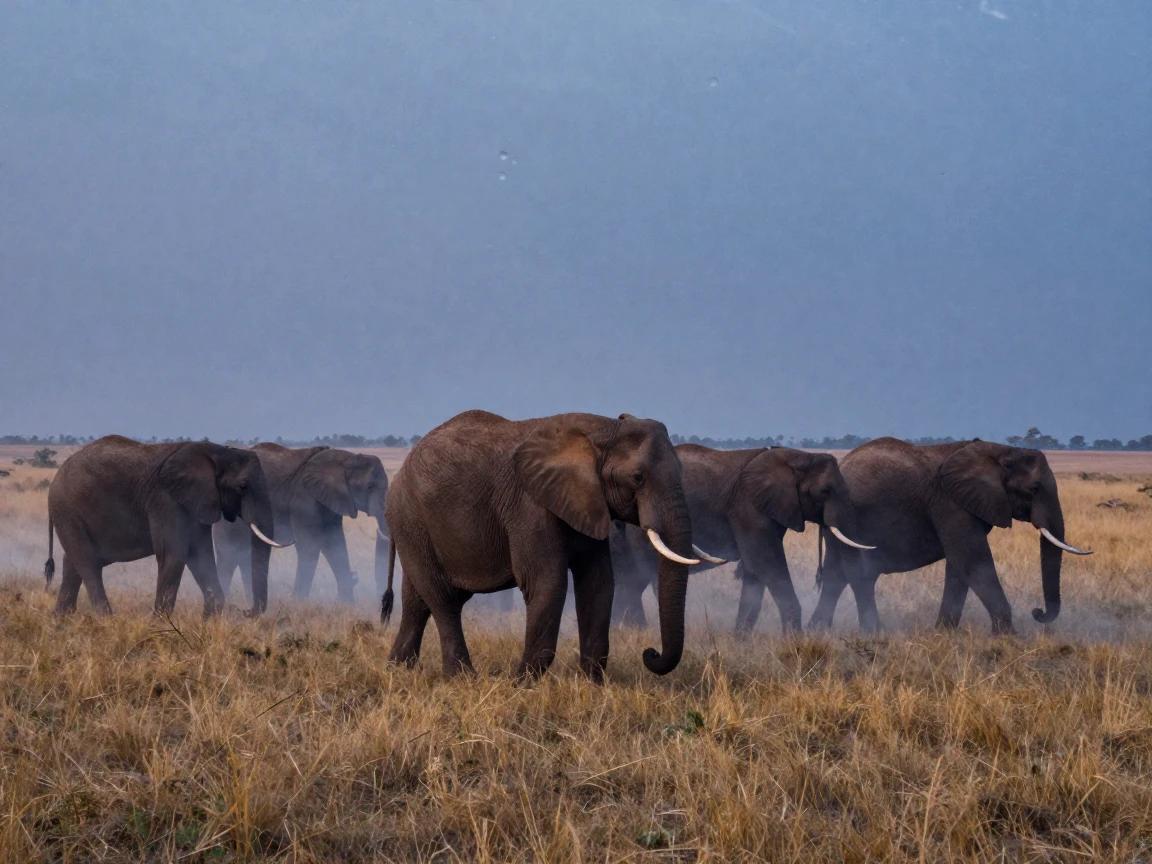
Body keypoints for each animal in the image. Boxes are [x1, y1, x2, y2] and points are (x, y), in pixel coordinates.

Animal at [44, 436, 283, 616]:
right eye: (242, 487)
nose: (243, 610)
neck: (218, 452)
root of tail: (56, 477)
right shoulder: (165, 500)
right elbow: (174, 556)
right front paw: (160, 626)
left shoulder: (197, 503)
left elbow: (201, 555)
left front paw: (210, 620)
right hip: (67, 509)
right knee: (88, 563)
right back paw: (106, 620)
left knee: (72, 564)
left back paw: (61, 622)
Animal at [213, 444, 389, 612]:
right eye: (369, 487)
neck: (349, 458)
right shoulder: (303, 500)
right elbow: (309, 546)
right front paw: (297, 603)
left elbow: (334, 544)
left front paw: (348, 605)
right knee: (228, 555)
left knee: (241, 556)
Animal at [380, 410, 719, 681]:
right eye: (637, 478)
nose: (650, 653)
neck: (602, 429)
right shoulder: (530, 505)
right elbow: (547, 582)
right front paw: (521, 684)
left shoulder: (589, 503)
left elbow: (598, 583)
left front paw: (593, 685)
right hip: (412, 519)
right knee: (443, 599)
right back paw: (462, 679)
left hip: (415, 528)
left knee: (417, 601)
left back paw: (398, 669)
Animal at [609, 444, 872, 634]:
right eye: (825, 491)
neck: (795, 456)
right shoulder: (749, 508)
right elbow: (766, 563)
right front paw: (795, 640)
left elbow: (755, 572)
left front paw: (740, 639)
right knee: (642, 574)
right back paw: (637, 631)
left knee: (634, 577)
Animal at [807, 438, 1092, 634]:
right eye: (1034, 489)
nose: (1037, 612)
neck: (1000, 451)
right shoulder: (950, 503)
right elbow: (971, 559)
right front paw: (1010, 637)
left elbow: (959, 565)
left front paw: (942, 633)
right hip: (852, 519)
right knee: (860, 573)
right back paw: (873, 631)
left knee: (835, 575)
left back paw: (818, 630)